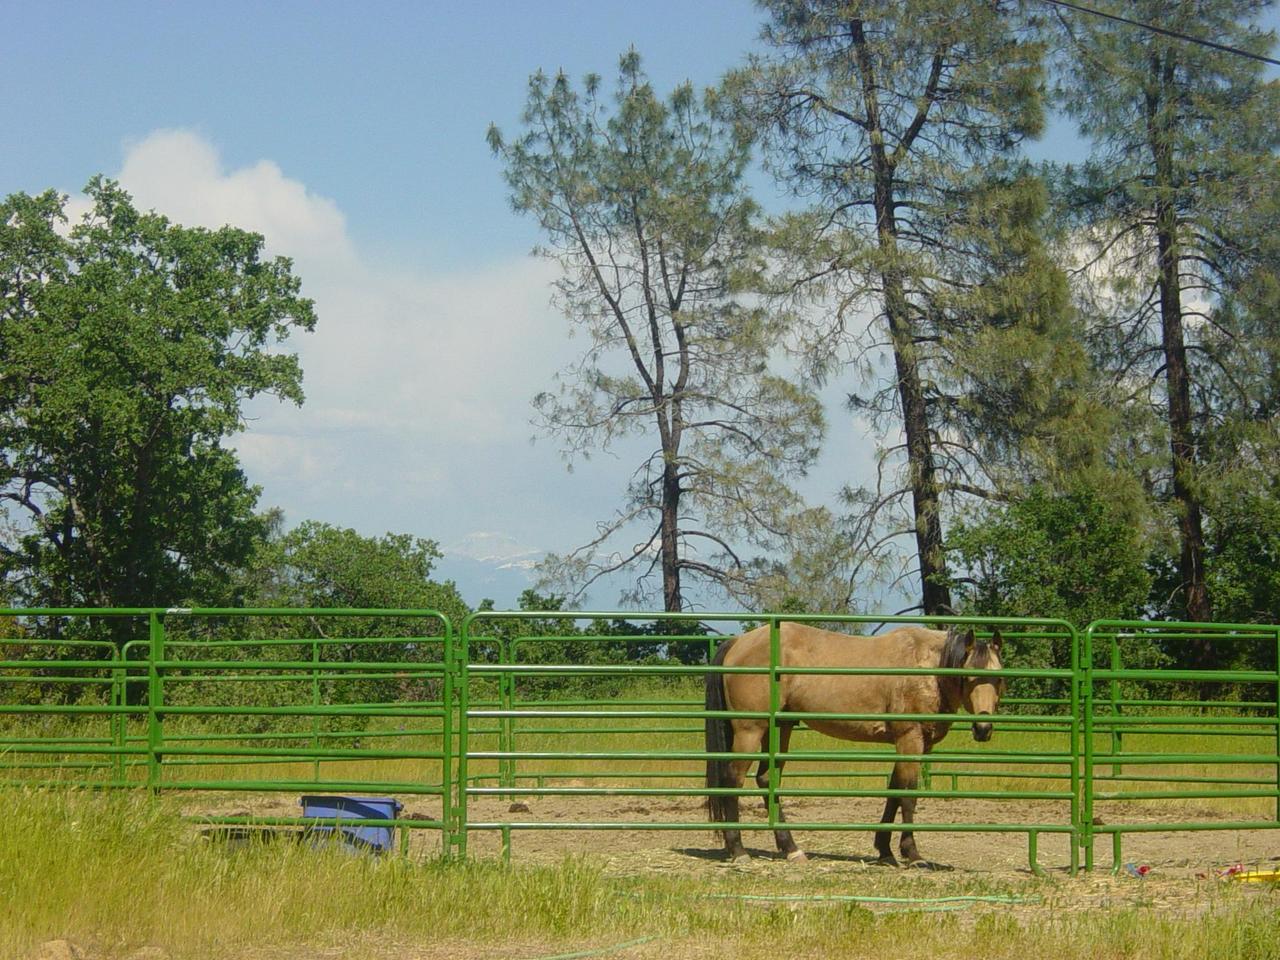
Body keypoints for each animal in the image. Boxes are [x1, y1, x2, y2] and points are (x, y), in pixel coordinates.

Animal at [704, 622, 1005, 865]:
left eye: (999, 678)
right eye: (968, 677)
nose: (983, 728)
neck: (926, 667)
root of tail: (738, 642)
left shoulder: (912, 744)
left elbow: (894, 793)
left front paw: (885, 851)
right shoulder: (910, 739)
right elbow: (908, 796)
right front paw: (913, 854)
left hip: (779, 728)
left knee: (768, 781)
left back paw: (791, 849)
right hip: (750, 730)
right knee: (732, 780)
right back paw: (738, 850)